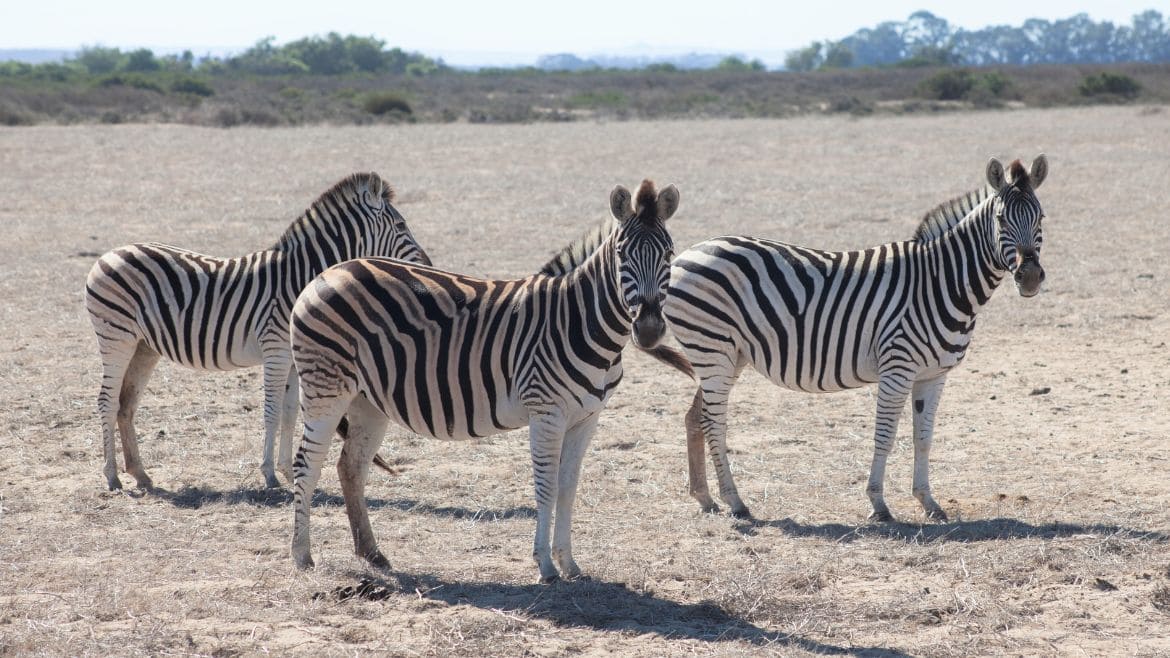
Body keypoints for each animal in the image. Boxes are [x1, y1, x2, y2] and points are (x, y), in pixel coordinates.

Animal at [85, 172, 431, 491]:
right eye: (401, 226)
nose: (428, 264)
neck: (298, 276)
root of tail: (110, 253)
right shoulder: (275, 350)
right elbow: (272, 412)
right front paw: (269, 475)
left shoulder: (293, 357)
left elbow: (290, 414)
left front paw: (289, 471)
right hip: (116, 337)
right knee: (107, 400)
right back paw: (112, 476)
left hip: (144, 346)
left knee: (126, 403)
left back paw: (140, 474)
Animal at [288, 180, 678, 582]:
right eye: (621, 254)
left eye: (669, 253)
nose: (649, 330)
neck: (577, 320)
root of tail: (330, 271)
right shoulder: (547, 412)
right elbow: (546, 486)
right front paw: (545, 565)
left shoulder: (587, 417)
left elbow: (568, 487)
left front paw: (569, 563)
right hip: (325, 388)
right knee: (307, 462)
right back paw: (302, 556)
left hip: (368, 400)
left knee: (351, 466)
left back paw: (372, 553)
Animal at [669, 156, 1048, 522]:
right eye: (1000, 219)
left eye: (1042, 217)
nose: (1030, 277)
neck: (940, 282)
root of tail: (688, 253)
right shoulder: (897, 369)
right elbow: (885, 436)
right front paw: (878, 504)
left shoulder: (933, 374)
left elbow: (923, 439)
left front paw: (928, 502)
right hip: (712, 349)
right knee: (714, 422)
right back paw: (735, 502)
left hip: (728, 355)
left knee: (695, 417)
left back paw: (706, 498)